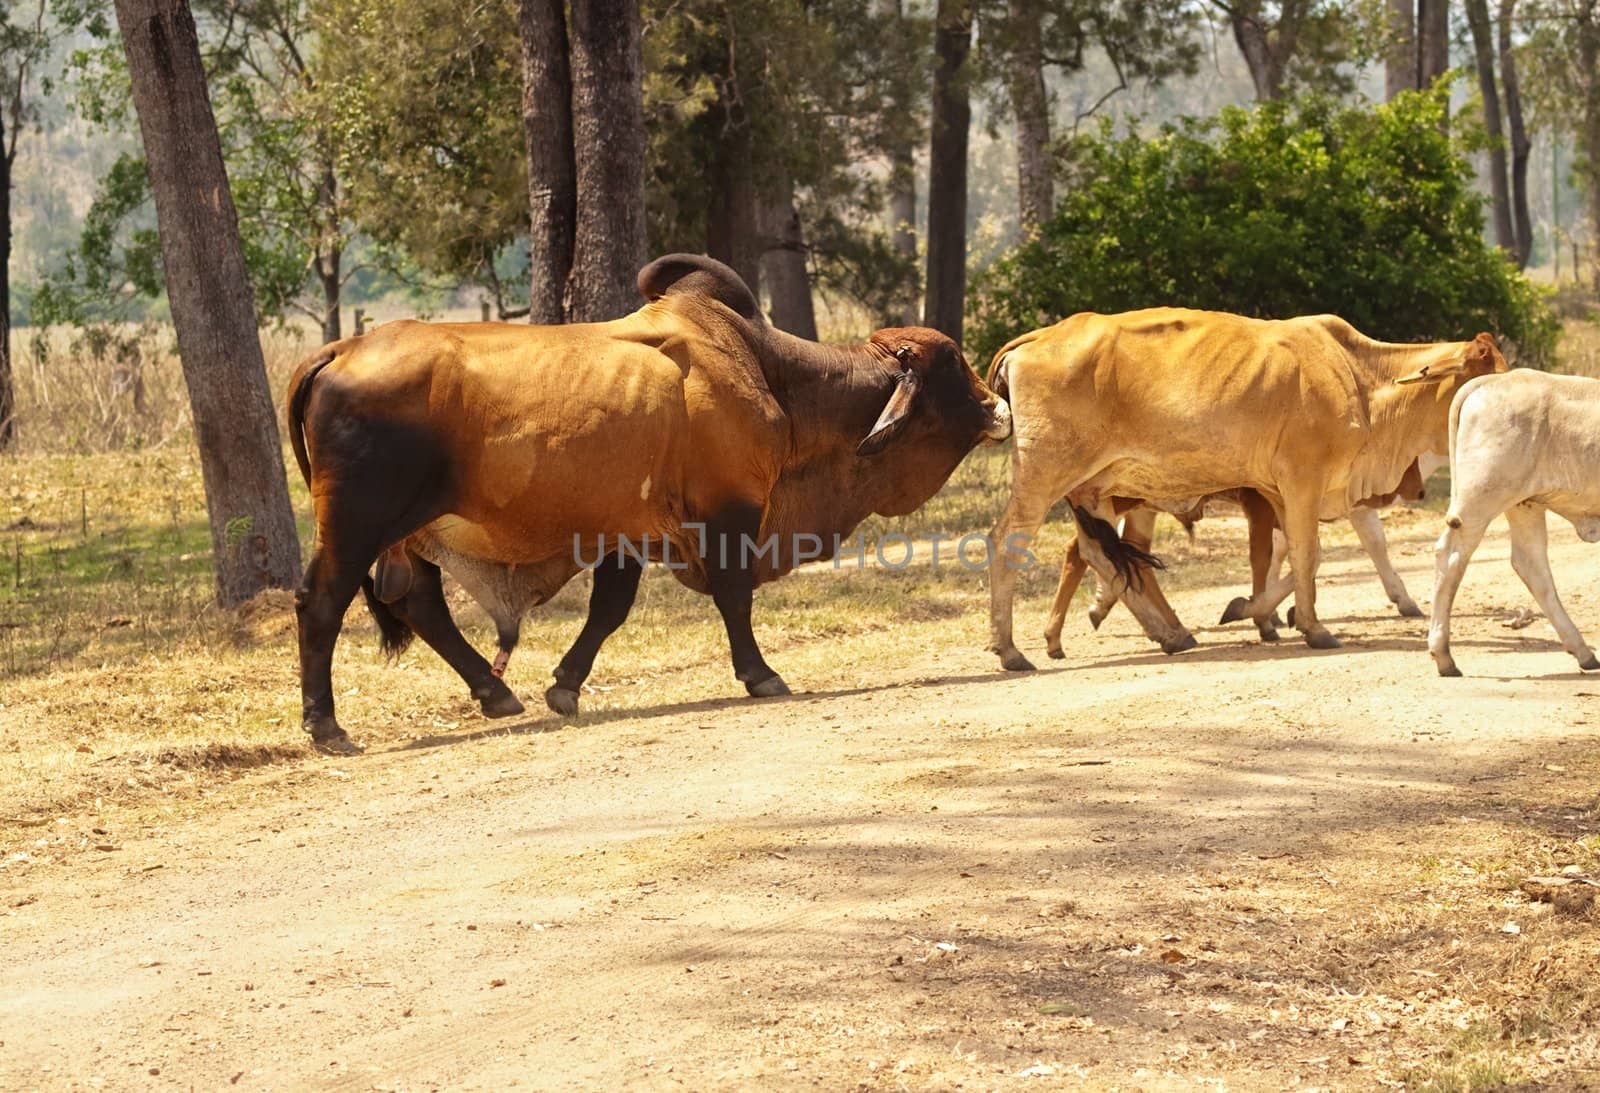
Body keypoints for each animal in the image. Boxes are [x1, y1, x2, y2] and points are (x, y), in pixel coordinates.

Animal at [289, 254, 1011, 752]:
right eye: (952, 363)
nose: (998, 404)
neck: (771, 375)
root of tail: (341, 347)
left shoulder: (630, 532)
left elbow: (608, 611)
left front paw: (564, 685)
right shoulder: (729, 514)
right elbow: (734, 597)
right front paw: (760, 674)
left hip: (406, 532)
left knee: (423, 604)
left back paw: (495, 693)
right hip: (357, 522)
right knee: (321, 604)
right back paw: (327, 727)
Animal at [1433, 371, 1600, 675]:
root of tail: (1493, 380)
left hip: (1524, 504)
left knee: (1531, 566)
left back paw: (1583, 652)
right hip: (1480, 500)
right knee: (1450, 557)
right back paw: (1443, 656)